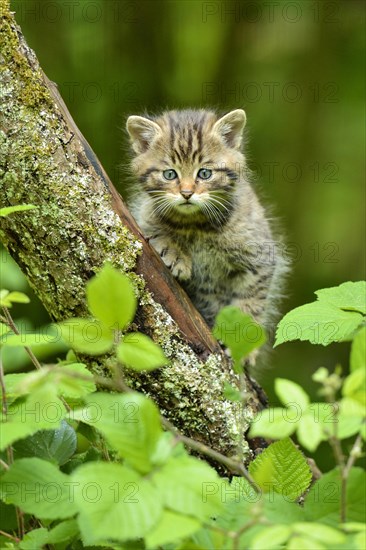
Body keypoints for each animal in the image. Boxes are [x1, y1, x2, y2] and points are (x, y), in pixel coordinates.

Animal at [127, 108, 288, 348]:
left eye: (204, 173)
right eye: (169, 174)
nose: (186, 193)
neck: (196, 224)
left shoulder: (260, 258)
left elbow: (250, 305)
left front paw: (239, 341)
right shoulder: (144, 214)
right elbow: (154, 230)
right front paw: (175, 254)